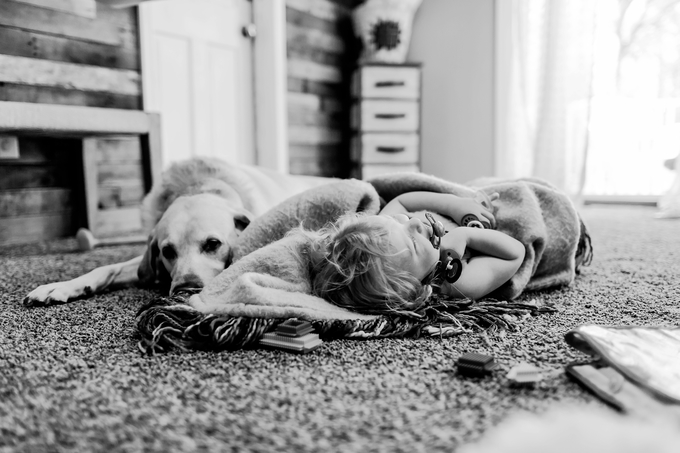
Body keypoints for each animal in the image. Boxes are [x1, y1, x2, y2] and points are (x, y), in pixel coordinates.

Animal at [25, 156, 334, 304]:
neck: (200, 185)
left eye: (213, 243)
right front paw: (62, 286)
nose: (186, 288)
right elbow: (106, 268)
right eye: (167, 251)